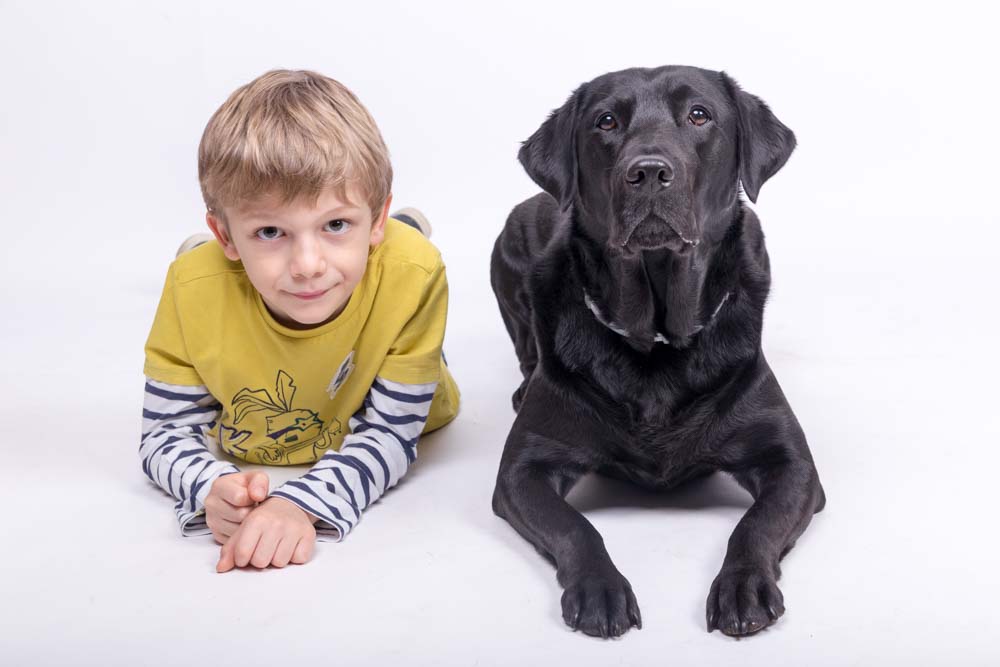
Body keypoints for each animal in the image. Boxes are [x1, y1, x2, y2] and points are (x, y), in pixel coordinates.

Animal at [488, 65, 824, 640]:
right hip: (506, 252)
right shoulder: (521, 470)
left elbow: (755, 525)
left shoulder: (794, 464)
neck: (658, 340)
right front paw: (600, 589)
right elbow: (576, 527)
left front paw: (743, 586)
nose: (647, 172)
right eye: (605, 121)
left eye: (699, 115)